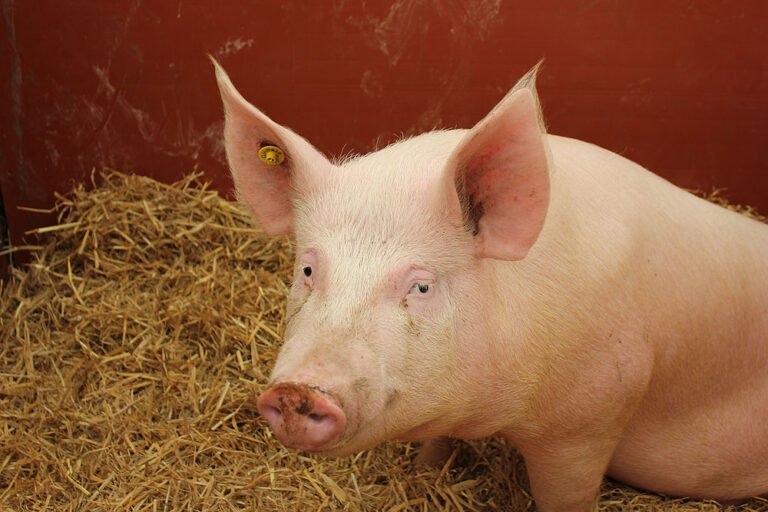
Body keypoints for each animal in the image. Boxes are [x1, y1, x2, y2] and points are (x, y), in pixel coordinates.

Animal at [212, 59, 768, 512]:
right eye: (308, 271)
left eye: (421, 287)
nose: (295, 391)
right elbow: (437, 445)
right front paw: (424, 471)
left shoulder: (591, 417)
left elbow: (567, 497)